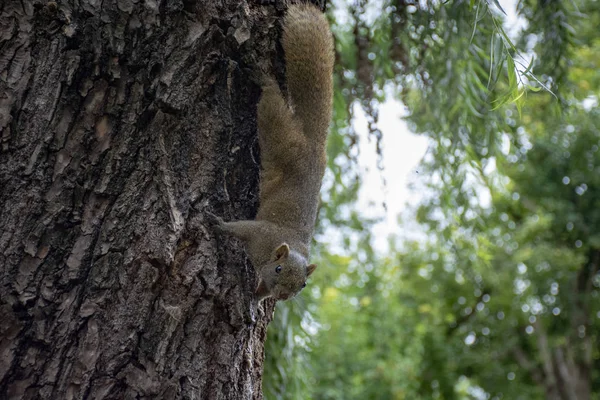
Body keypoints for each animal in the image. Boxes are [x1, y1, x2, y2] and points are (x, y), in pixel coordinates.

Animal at [210, 3, 332, 302]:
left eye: (303, 285)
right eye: (278, 269)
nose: (284, 297)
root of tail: (314, 145)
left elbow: (262, 291)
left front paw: (255, 298)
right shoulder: (260, 233)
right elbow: (239, 228)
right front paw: (218, 224)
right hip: (278, 132)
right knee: (271, 100)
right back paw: (261, 76)